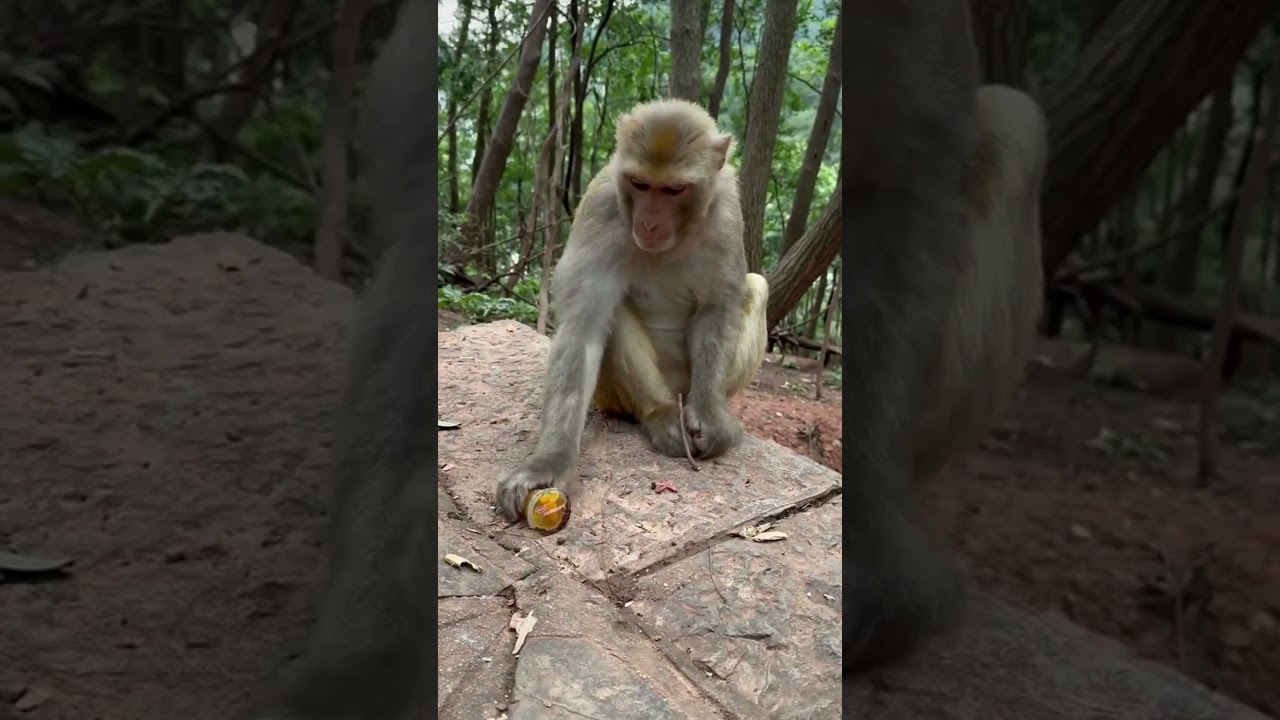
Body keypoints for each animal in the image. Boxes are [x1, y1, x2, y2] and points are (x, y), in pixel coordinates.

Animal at [493, 98, 769, 523]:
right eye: (640, 184)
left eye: (673, 190)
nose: (650, 223)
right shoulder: (601, 204)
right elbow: (583, 328)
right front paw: (547, 464)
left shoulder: (727, 213)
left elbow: (716, 309)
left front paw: (709, 417)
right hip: (613, 396)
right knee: (613, 312)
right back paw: (660, 414)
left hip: (689, 384)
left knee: (757, 286)